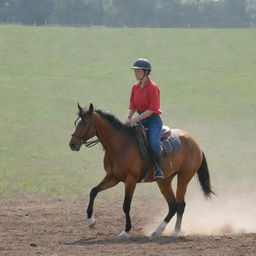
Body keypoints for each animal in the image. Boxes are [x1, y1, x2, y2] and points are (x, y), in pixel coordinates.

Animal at [68, 103, 214, 239]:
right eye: (75, 122)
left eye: (85, 123)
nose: (72, 144)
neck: (121, 145)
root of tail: (195, 143)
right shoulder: (113, 177)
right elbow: (93, 191)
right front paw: (91, 221)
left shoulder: (130, 180)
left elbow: (126, 205)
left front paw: (126, 231)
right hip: (164, 181)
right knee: (172, 205)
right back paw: (158, 230)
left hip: (184, 177)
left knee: (180, 204)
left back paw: (175, 231)